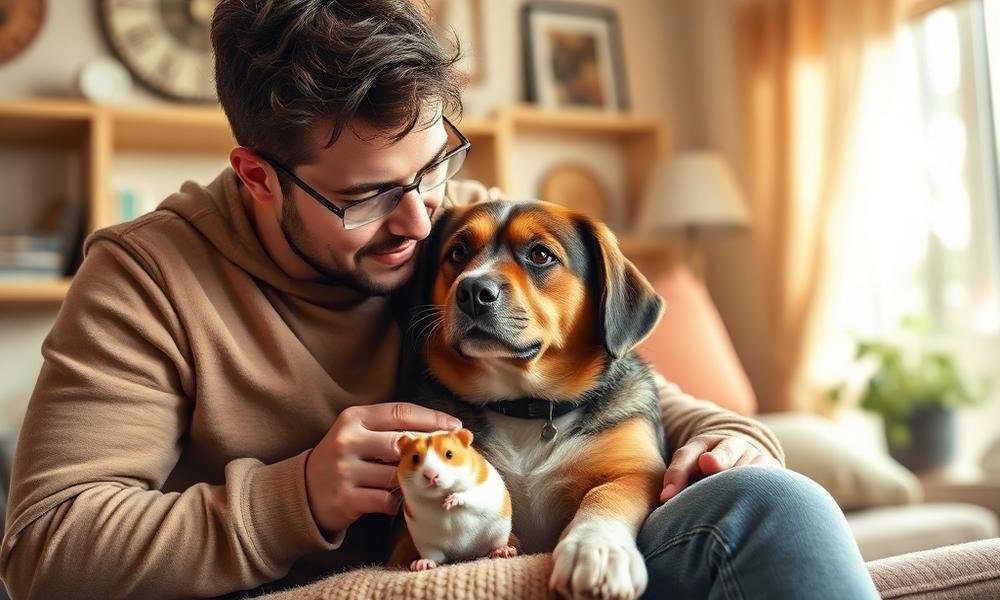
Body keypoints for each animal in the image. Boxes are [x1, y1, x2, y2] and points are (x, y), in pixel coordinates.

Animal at [394, 428, 518, 571]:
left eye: (449, 454)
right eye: (414, 457)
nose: (431, 476)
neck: (440, 495)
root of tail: (466, 553)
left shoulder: (482, 491)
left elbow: (469, 495)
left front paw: (450, 501)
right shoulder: (414, 502)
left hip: (499, 532)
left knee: (496, 545)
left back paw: (505, 551)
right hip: (427, 545)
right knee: (434, 557)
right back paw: (421, 564)